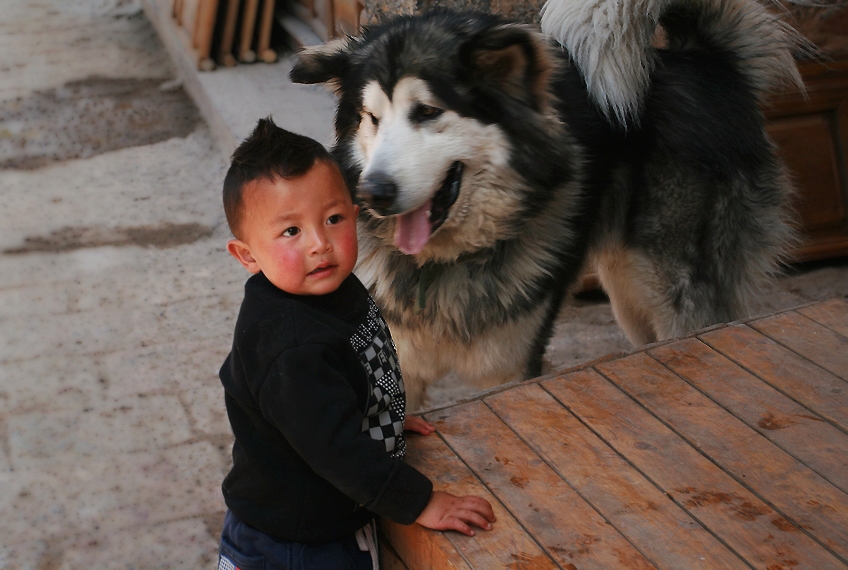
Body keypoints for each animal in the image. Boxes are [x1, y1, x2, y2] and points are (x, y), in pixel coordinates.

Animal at [292, 0, 800, 406]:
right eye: (371, 118)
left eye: (428, 111)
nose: (373, 193)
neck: (444, 265)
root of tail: (707, 59)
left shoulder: (510, 366)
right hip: (630, 297)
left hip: (674, 294)